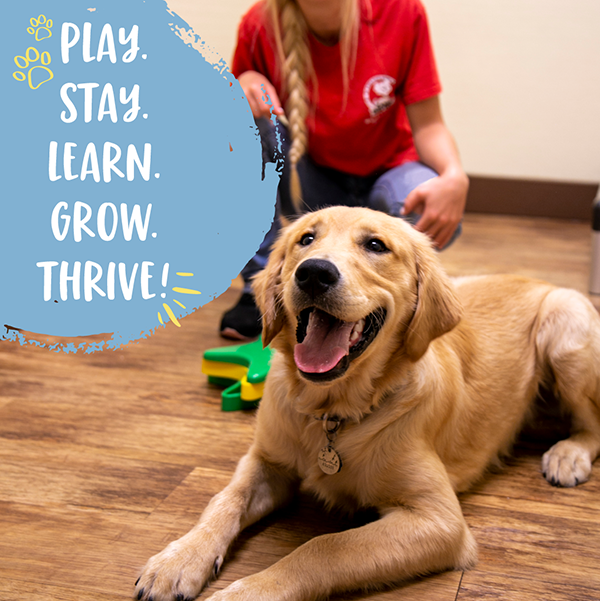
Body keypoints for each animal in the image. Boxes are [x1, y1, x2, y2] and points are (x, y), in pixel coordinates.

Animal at [136, 206, 600, 600]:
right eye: (306, 239)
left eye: (376, 245)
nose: (313, 273)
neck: (331, 413)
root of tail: (543, 283)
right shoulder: (266, 460)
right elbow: (224, 500)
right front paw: (178, 559)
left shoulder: (439, 521)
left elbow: (324, 547)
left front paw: (247, 591)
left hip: (565, 325)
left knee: (592, 424)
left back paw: (568, 455)